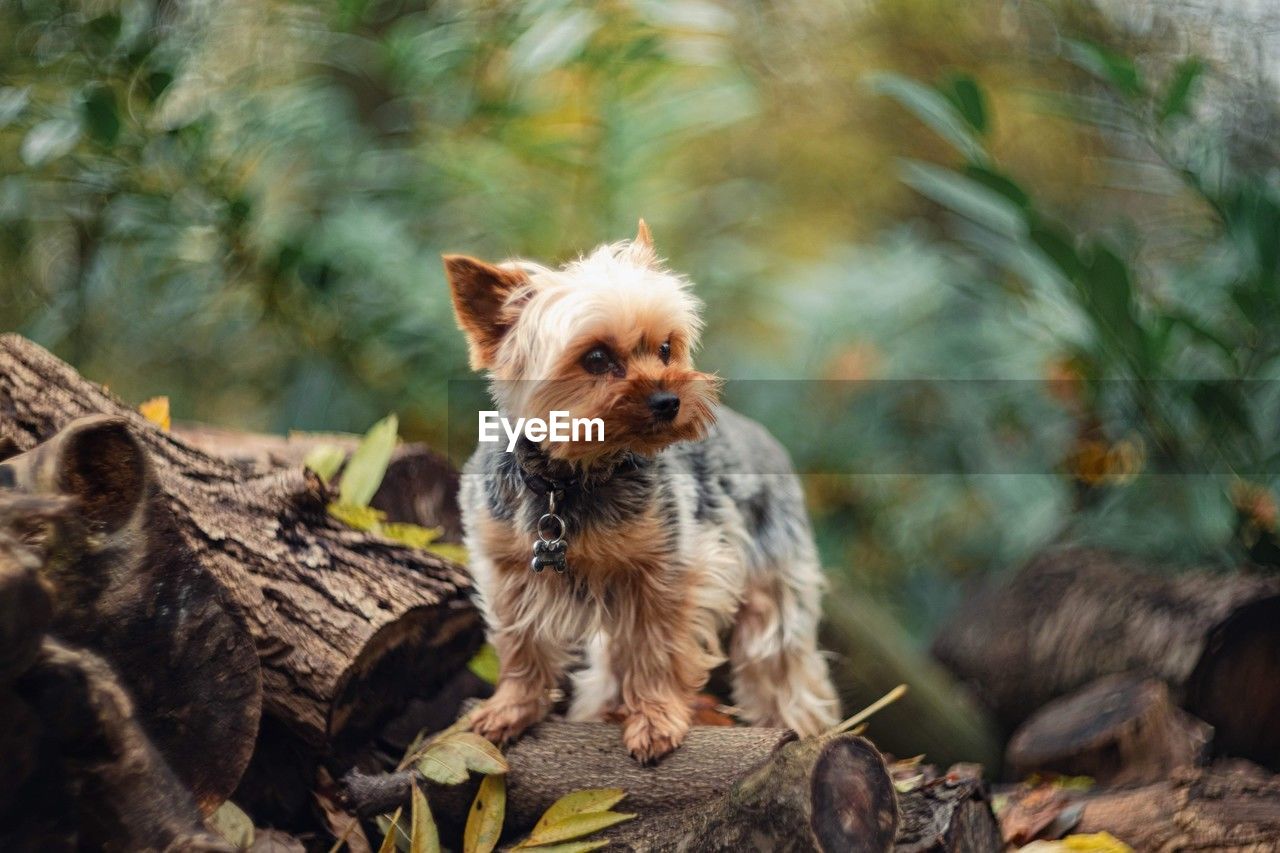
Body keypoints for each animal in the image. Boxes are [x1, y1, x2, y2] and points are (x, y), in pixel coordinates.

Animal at [448, 222, 839, 758]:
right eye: (595, 358)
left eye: (666, 349)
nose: (670, 399)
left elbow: (656, 648)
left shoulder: (669, 572)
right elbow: (520, 643)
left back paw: (804, 730)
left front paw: (655, 719)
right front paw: (511, 709)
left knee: (780, 660)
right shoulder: (508, 567)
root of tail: (761, 435)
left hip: (774, 579)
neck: (570, 479)